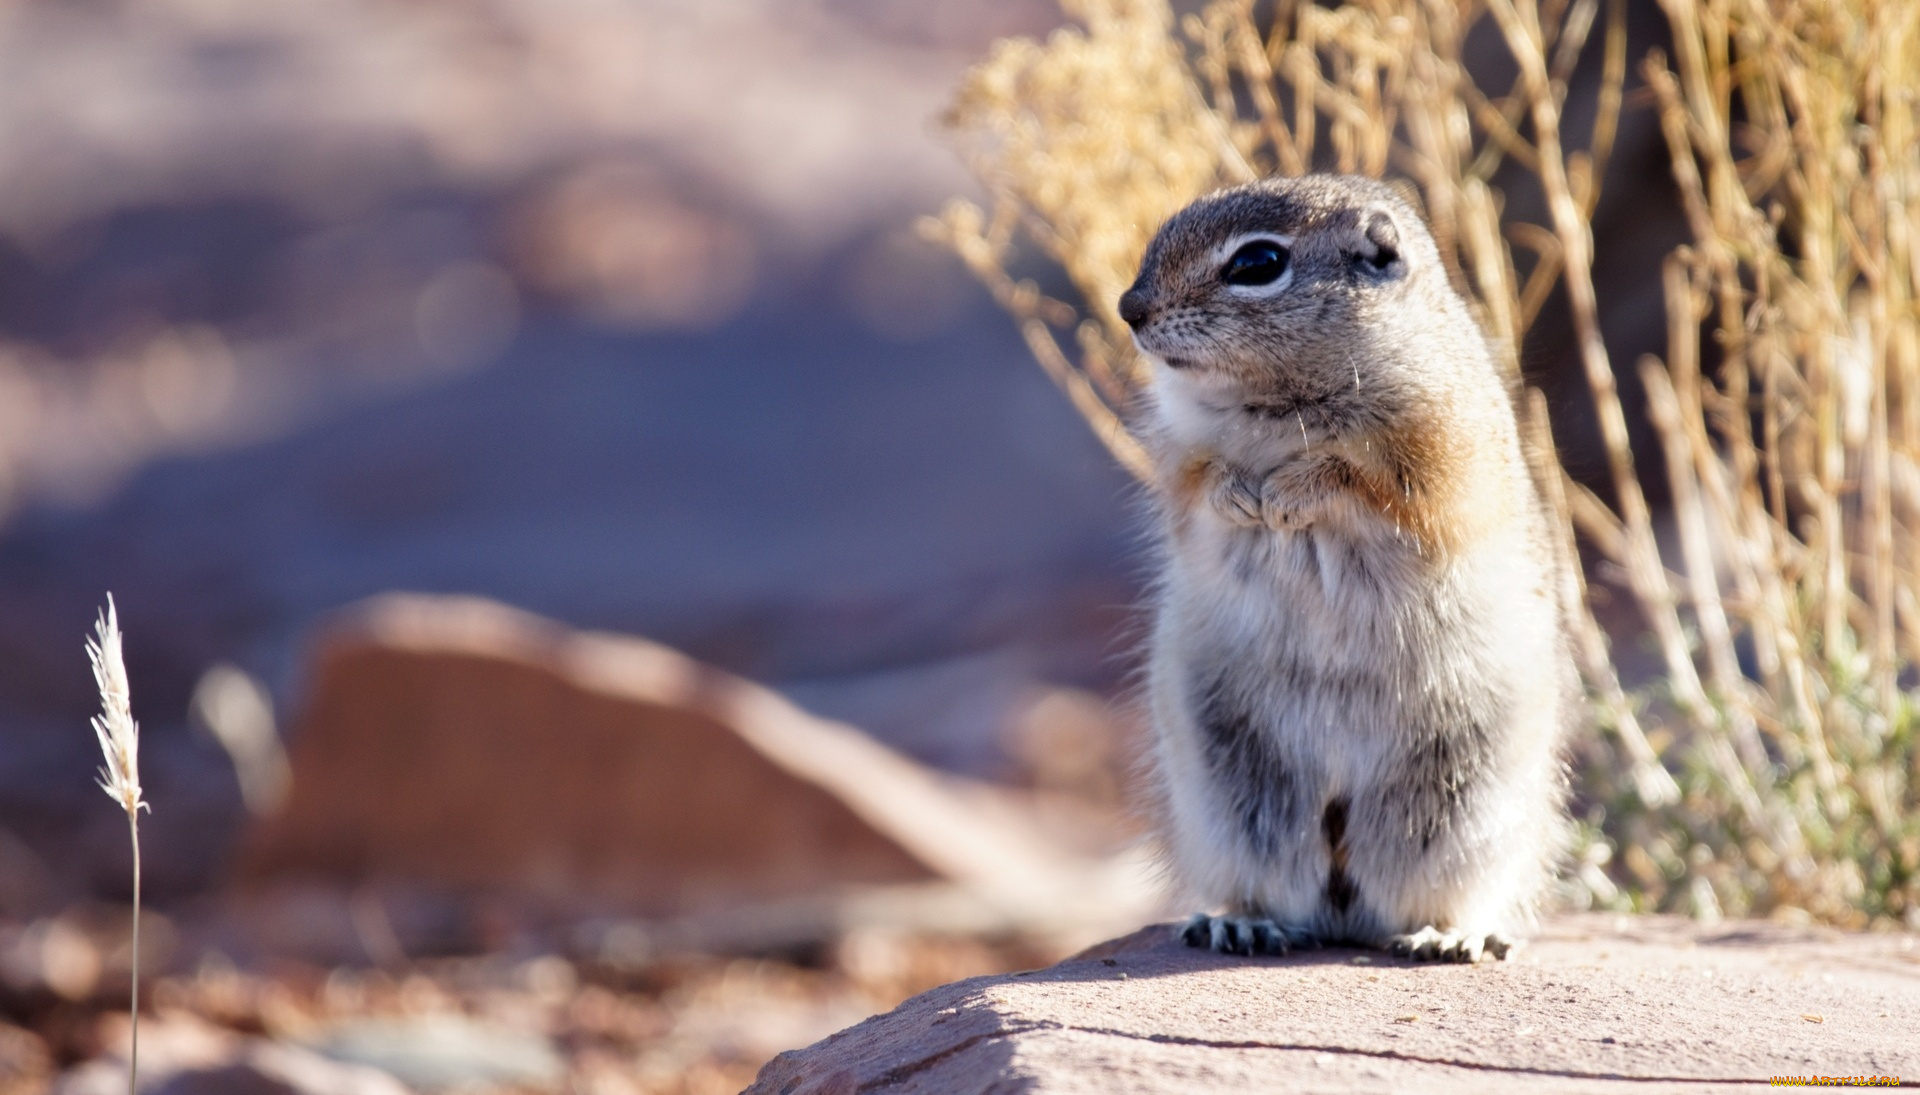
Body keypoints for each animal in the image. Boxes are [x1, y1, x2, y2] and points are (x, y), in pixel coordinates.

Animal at [1121, 170, 1574, 952]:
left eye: (1258, 263)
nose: (1128, 308)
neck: (1276, 404)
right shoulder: (1179, 455)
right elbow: (1201, 483)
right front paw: (1244, 497)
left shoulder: (1440, 456)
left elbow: (1358, 477)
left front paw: (1289, 494)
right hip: (1233, 796)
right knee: (1279, 879)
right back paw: (1244, 922)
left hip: (1459, 808)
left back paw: (1445, 936)